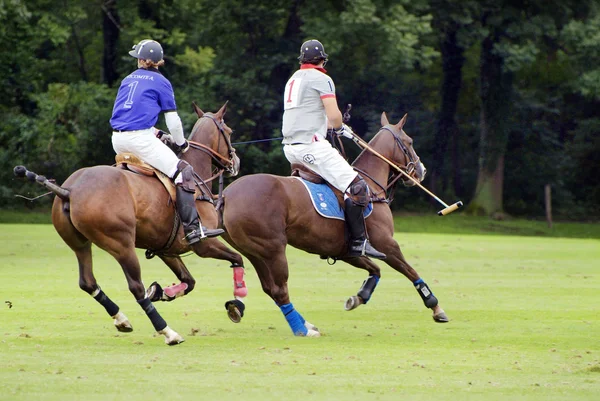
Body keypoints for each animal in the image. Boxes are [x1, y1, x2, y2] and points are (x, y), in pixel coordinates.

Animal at [12, 102, 246, 344]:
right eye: (229, 132)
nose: (236, 163)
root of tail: (70, 190)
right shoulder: (203, 244)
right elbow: (237, 259)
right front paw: (237, 304)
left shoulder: (167, 248)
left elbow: (189, 281)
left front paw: (162, 291)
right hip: (121, 243)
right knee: (135, 287)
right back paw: (168, 332)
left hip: (79, 243)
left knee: (87, 282)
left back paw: (122, 319)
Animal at [220, 111, 446, 334]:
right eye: (409, 142)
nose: (422, 170)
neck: (372, 187)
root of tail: (225, 196)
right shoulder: (386, 244)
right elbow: (410, 271)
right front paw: (436, 308)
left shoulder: (345, 251)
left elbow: (375, 269)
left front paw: (358, 297)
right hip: (273, 248)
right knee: (279, 289)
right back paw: (302, 328)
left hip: (253, 251)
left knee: (269, 288)